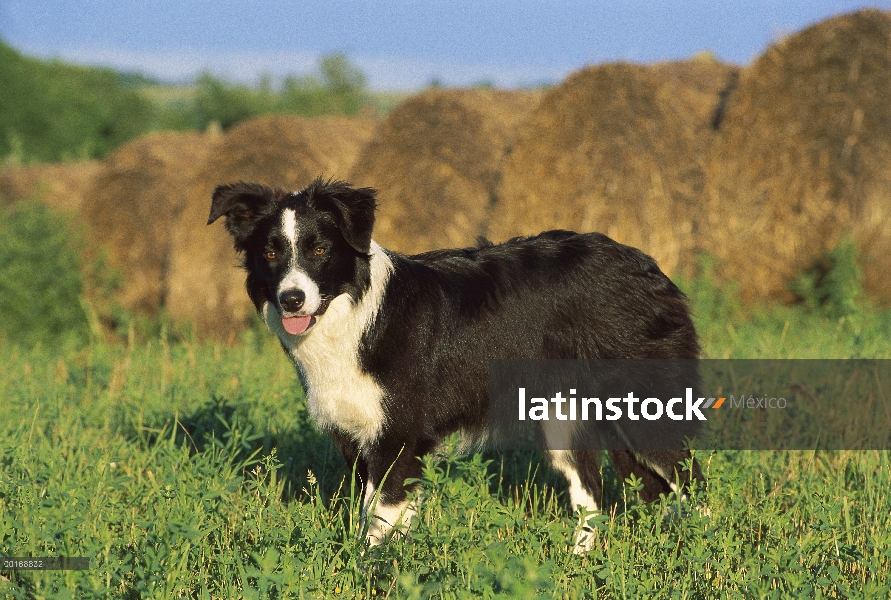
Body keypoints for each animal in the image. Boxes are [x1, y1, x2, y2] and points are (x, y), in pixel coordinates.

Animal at [209, 177, 704, 552]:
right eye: (270, 253)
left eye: (318, 250)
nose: (292, 299)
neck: (353, 313)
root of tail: (646, 263)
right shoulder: (359, 440)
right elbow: (375, 515)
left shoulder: (399, 438)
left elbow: (378, 525)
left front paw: (368, 573)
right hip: (564, 418)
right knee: (594, 496)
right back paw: (577, 563)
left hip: (642, 409)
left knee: (691, 481)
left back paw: (700, 547)